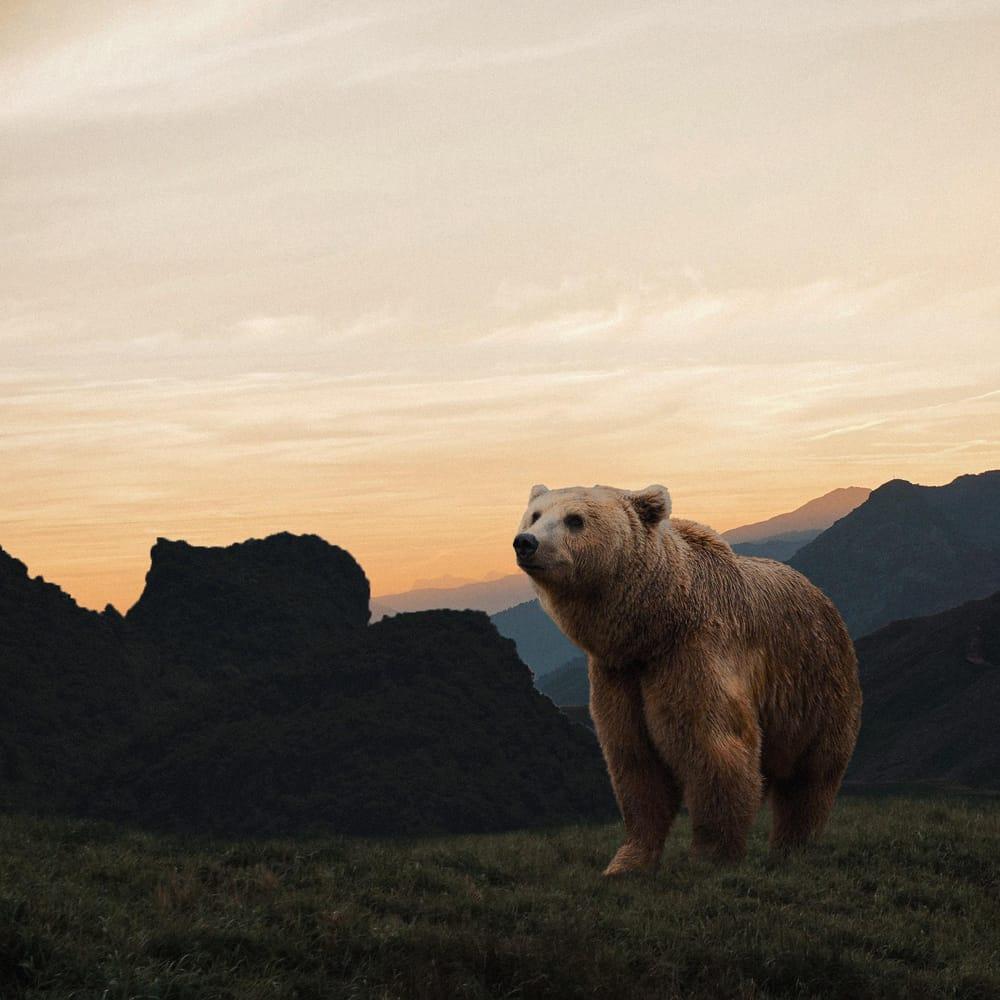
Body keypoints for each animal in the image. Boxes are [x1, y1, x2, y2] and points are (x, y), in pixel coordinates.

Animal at [513, 483, 861, 874]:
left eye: (575, 519)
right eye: (535, 515)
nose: (526, 542)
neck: (653, 626)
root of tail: (821, 595)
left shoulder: (693, 655)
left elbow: (713, 746)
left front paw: (711, 856)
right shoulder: (619, 676)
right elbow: (635, 762)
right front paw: (626, 862)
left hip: (815, 685)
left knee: (811, 776)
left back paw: (792, 846)